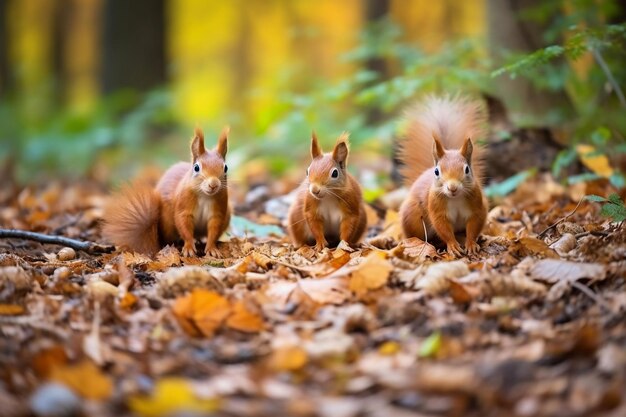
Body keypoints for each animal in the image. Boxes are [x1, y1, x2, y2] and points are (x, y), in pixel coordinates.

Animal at [101, 127, 230, 256]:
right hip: (167, 221)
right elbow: (184, 225)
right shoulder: (183, 205)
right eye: (196, 168)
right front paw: (188, 247)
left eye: (226, 167)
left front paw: (212, 248)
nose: (213, 184)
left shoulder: (218, 211)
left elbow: (213, 231)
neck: (204, 195)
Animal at [400, 96, 488, 256]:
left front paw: (471, 244)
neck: (455, 199)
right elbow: (443, 228)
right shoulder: (437, 209)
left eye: (467, 169)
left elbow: (473, 227)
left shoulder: (477, 207)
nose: (452, 188)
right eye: (437, 172)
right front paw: (452, 246)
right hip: (412, 217)